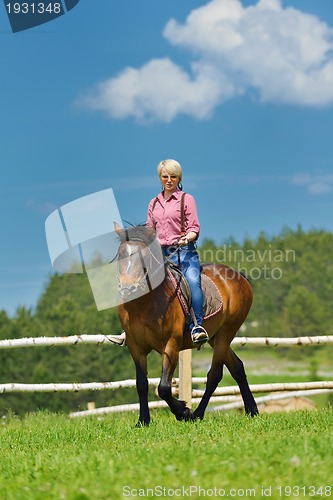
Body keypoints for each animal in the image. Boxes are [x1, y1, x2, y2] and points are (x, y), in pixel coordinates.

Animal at [113, 224, 256, 426]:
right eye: (120, 254)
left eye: (145, 256)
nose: (128, 288)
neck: (143, 305)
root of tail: (239, 277)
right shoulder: (135, 347)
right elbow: (141, 384)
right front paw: (143, 421)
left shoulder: (171, 345)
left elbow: (163, 388)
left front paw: (183, 412)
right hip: (215, 337)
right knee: (237, 367)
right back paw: (252, 410)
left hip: (226, 333)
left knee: (214, 375)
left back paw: (198, 414)